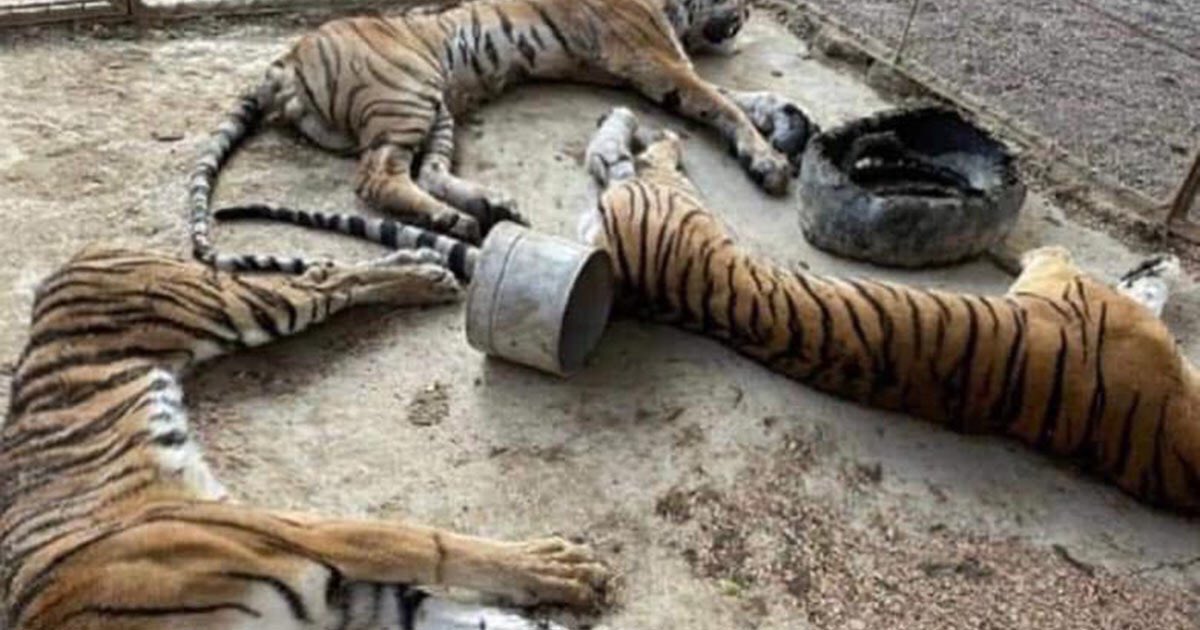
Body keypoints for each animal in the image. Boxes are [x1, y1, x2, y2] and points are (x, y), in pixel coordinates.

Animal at [1, 241, 609, 629]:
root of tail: (73, 261)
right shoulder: (354, 603)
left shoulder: (301, 534)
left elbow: (429, 543)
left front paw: (557, 566)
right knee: (322, 273)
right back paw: (421, 268)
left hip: (233, 308)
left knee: (321, 280)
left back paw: (421, 274)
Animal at [190, 0, 818, 272]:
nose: (746, 16)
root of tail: (285, 58)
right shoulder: (653, 58)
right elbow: (719, 101)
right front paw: (768, 160)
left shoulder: (647, 67)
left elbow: (724, 97)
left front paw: (782, 116)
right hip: (408, 92)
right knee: (375, 177)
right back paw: (457, 219)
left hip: (437, 107)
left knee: (426, 171)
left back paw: (483, 208)